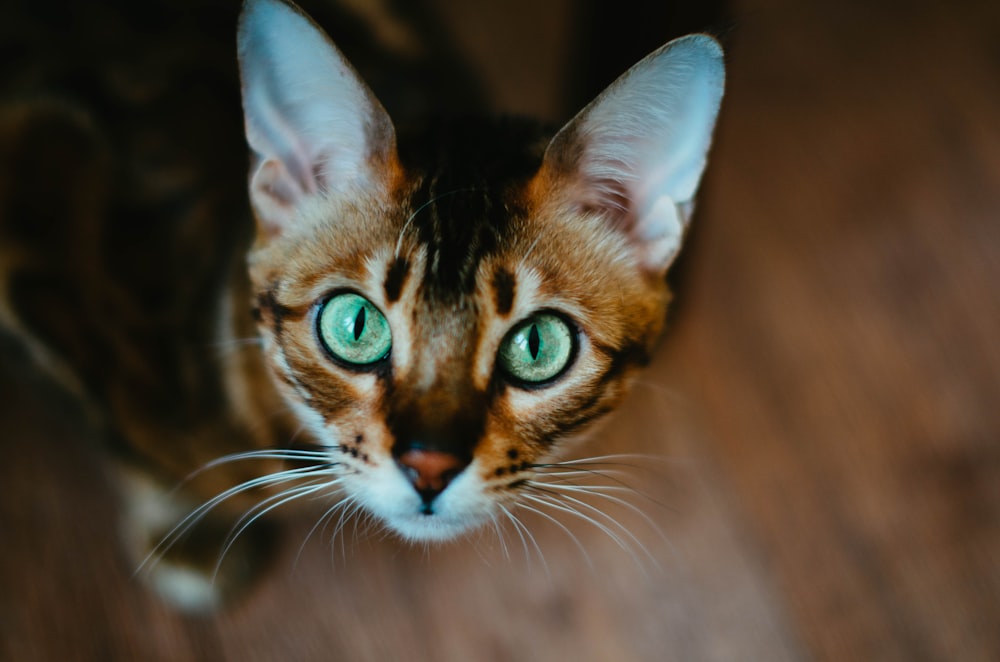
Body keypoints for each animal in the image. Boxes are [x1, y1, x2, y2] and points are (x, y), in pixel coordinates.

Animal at [0, 0, 720, 616]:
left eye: (538, 344)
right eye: (355, 325)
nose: (429, 468)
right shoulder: (36, 162)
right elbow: (116, 432)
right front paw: (183, 536)